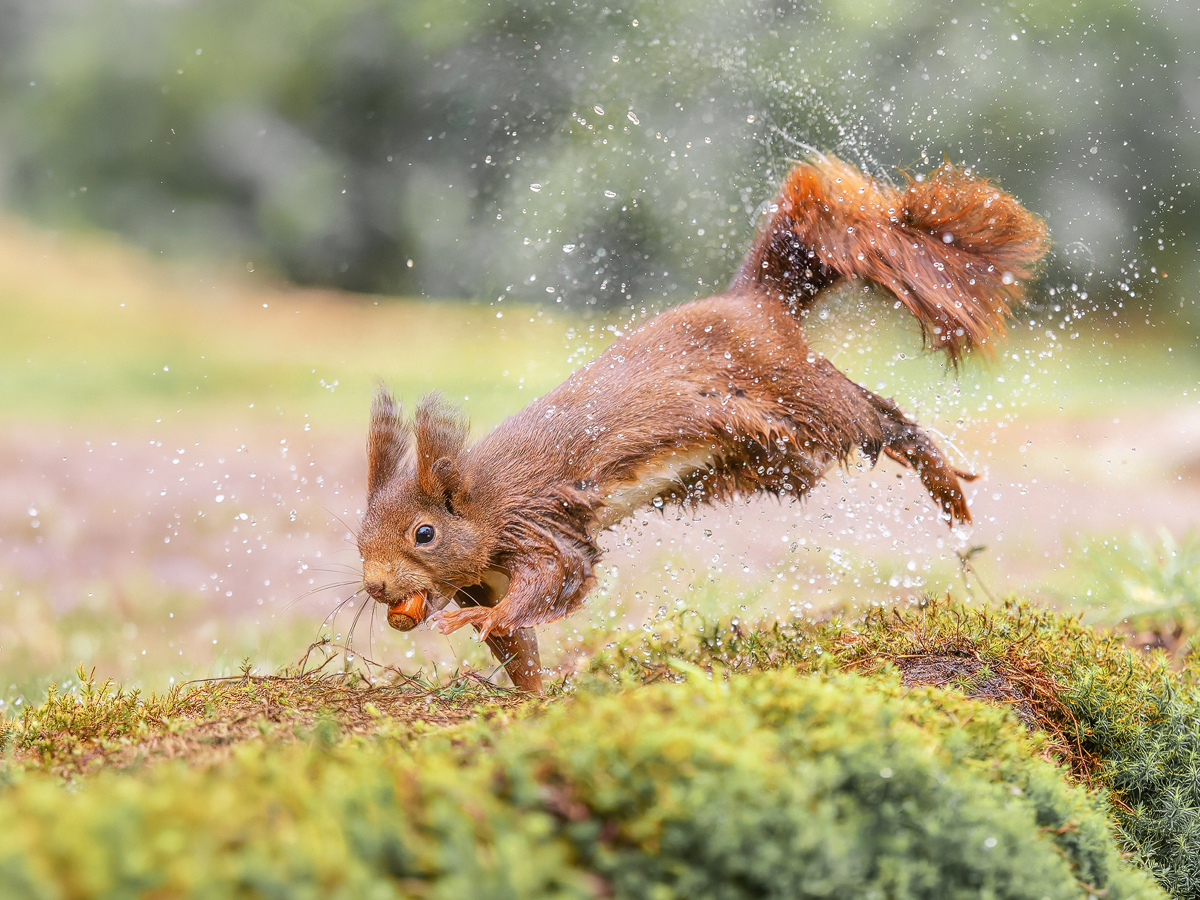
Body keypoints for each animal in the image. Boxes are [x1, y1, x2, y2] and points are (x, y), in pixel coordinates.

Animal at [357, 154, 1048, 692]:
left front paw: (485, 623)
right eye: (359, 541)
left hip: (795, 388)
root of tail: (751, 302)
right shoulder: (483, 576)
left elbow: (559, 577)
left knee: (878, 416)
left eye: (424, 534)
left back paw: (942, 476)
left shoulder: (537, 521)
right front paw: (534, 692)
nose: (376, 587)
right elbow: (519, 651)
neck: (480, 502)